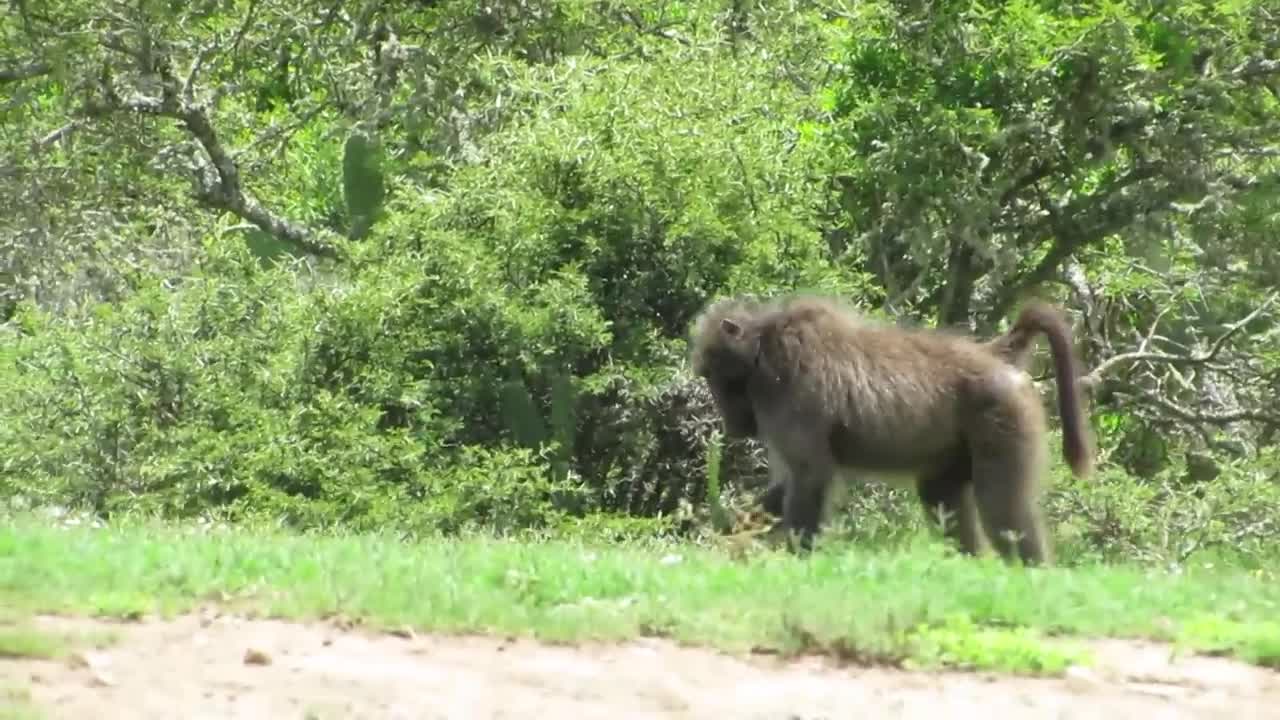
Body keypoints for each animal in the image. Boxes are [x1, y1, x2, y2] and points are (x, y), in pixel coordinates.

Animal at [689, 294, 1094, 565]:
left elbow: (809, 475)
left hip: (1002, 418)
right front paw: (724, 530)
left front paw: (796, 559)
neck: (761, 349)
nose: (730, 423)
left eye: (711, 375)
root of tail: (996, 355)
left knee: (1002, 510)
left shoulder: (783, 393)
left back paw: (1033, 572)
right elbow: (788, 482)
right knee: (939, 495)